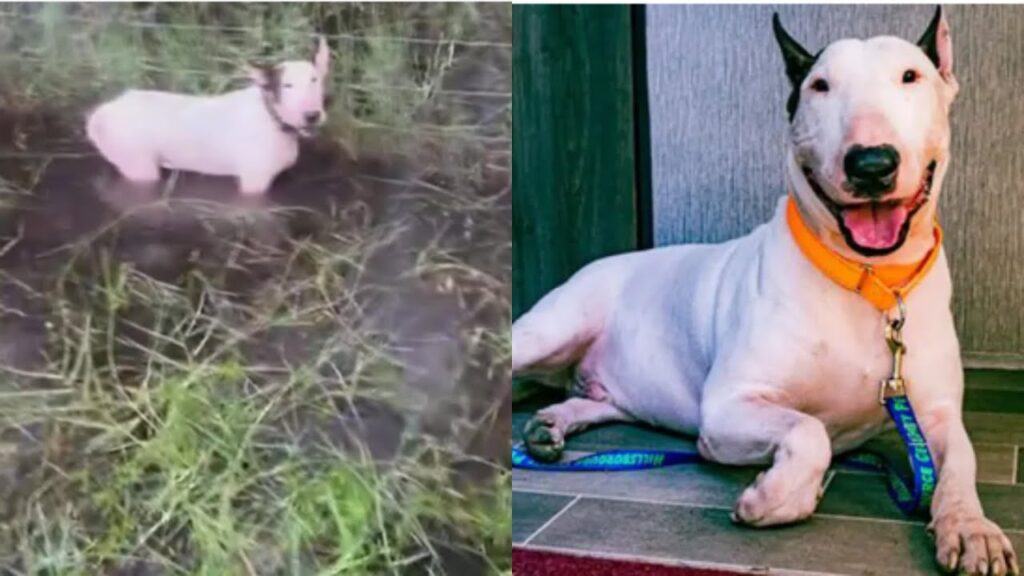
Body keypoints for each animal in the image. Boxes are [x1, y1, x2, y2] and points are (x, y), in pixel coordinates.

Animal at [87, 37, 331, 194]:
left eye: (314, 80)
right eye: (287, 85)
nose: (312, 115)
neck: (272, 117)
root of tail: (101, 112)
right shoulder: (253, 182)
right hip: (138, 165)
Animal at [512, 7, 1015, 573]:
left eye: (911, 76)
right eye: (819, 85)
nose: (871, 164)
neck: (869, 279)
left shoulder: (935, 413)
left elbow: (961, 464)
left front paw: (973, 530)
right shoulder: (728, 406)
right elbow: (810, 431)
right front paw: (774, 497)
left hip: (616, 392)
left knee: (589, 399)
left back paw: (549, 425)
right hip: (549, 330)